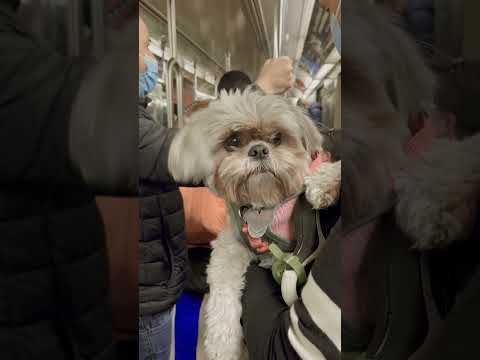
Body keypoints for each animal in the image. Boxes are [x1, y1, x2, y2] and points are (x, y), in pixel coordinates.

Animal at [169, 90, 342, 360]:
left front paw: (323, 182)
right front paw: (221, 346)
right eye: (234, 140)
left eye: (277, 137)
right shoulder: (232, 245)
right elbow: (223, 294)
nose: (259, 149)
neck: (267, 205)